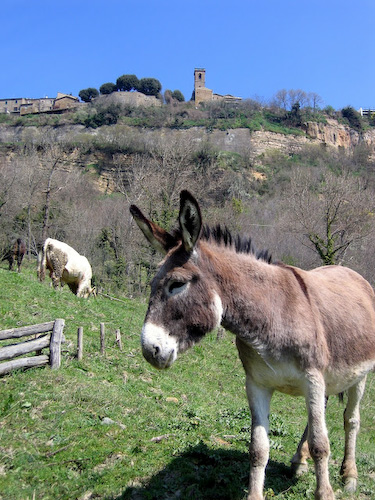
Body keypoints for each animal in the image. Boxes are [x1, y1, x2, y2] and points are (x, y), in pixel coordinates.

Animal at [131, 189, 375, 498]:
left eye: (177, 284)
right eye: (151, 285)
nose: (149, 350)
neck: (272, 313)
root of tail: (351, 272)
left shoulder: (313, 378)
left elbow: (322, 444)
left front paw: (326, 492)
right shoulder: (257, 384)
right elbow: (258, 449)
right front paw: (255, 492)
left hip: (358, 377)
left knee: (350, 420)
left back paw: (349, 475)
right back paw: (299, 461)